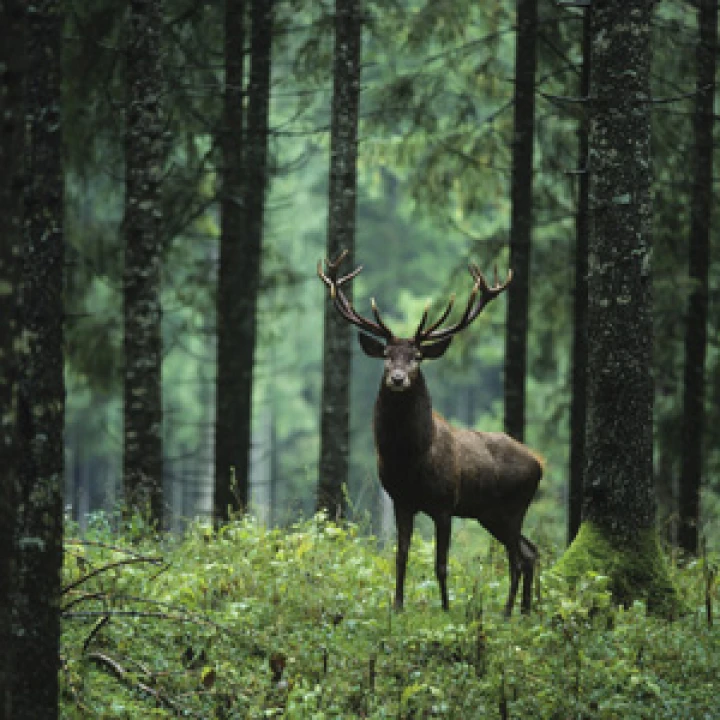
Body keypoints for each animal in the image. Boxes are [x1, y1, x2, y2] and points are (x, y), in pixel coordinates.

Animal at [318, 250, 543, 616]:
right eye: (386, 355)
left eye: (418, 357)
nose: (397, 378)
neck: (410, 460)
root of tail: (540, 464)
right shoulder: (401, 500)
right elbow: (400, 556)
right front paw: (397, 606)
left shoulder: (444, 503)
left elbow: (441, 563)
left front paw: (447, 609)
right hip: (490, 513)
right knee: (530, 551)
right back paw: (523, 611)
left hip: (514, 506)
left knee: (517, 557)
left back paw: (508, 612)